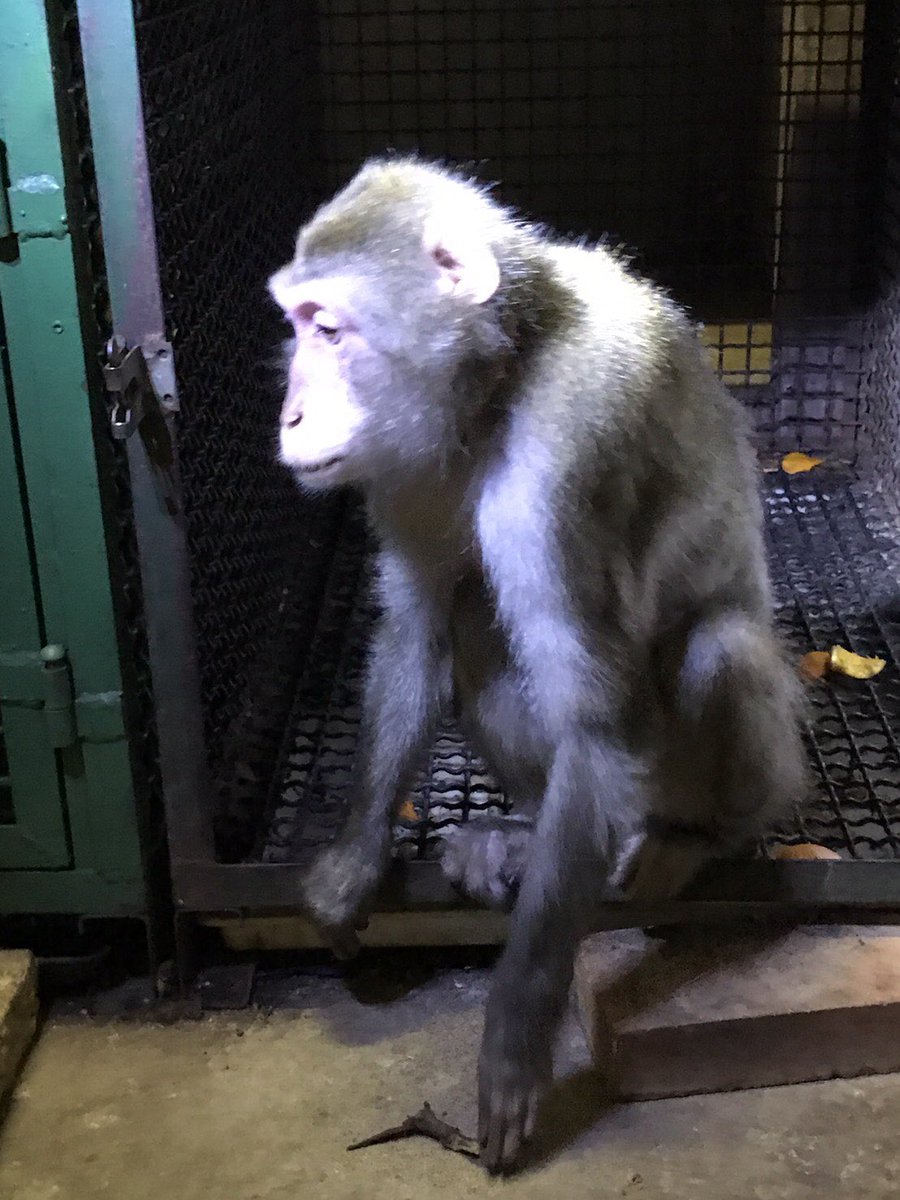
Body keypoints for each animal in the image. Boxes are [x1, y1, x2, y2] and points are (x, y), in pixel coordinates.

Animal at [267, 157, 805, 1173]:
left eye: (330, 328)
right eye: (297, 323)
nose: (290, 411)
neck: (503, 374)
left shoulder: (569, 450)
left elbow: (597, 721)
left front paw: (517, 1032)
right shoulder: (408, 461)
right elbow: (420, 627)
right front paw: (354, 861)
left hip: (731, 783)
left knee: (718, 648)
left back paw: (696, 838)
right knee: (477, 622)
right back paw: (515, 835)